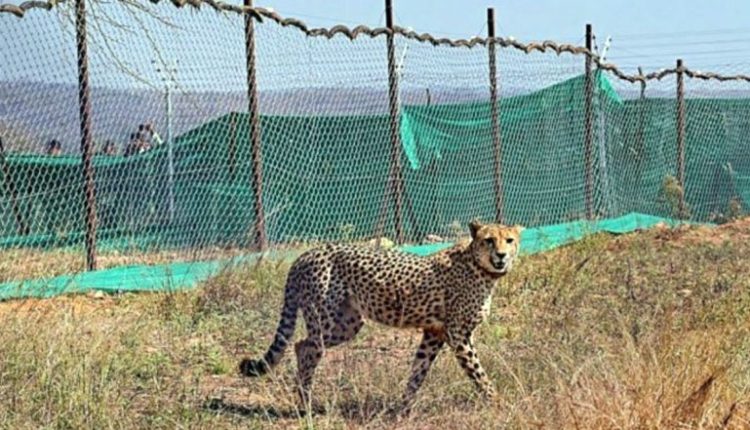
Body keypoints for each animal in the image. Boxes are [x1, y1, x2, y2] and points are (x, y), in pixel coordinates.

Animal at [238, 220, 523, 412]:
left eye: (509, 240)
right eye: (489, 240)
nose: (501, 255)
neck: (480, 267)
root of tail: (305, 254)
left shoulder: (434, 333)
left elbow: (418, 371)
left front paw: (403, 407)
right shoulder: (459, 335)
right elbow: (478, 373)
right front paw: (498, 401)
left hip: (348, 324)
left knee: (300, 345)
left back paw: (303, 398)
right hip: (325, 320)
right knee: (307, 347)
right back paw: (306, 403)